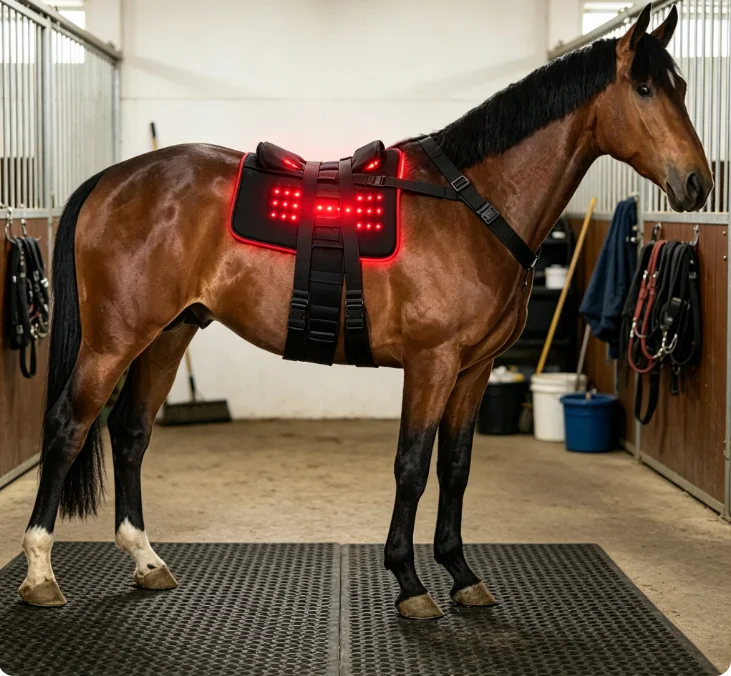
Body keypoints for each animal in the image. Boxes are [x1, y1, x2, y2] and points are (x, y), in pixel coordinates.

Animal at [19, 4, 711, 619]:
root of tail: (112, 179)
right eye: (645, 88)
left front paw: (462, 575)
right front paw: (409, 583)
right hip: (114, 340)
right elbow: (412, 466)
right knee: (67, 426)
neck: (472, 206)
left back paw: (146, 560)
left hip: (168, 333)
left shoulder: (474, 370)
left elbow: (456, 467)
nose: (698, 184)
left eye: (681, 85)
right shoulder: (432, 364)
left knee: (131, 432)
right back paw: (40, 573)